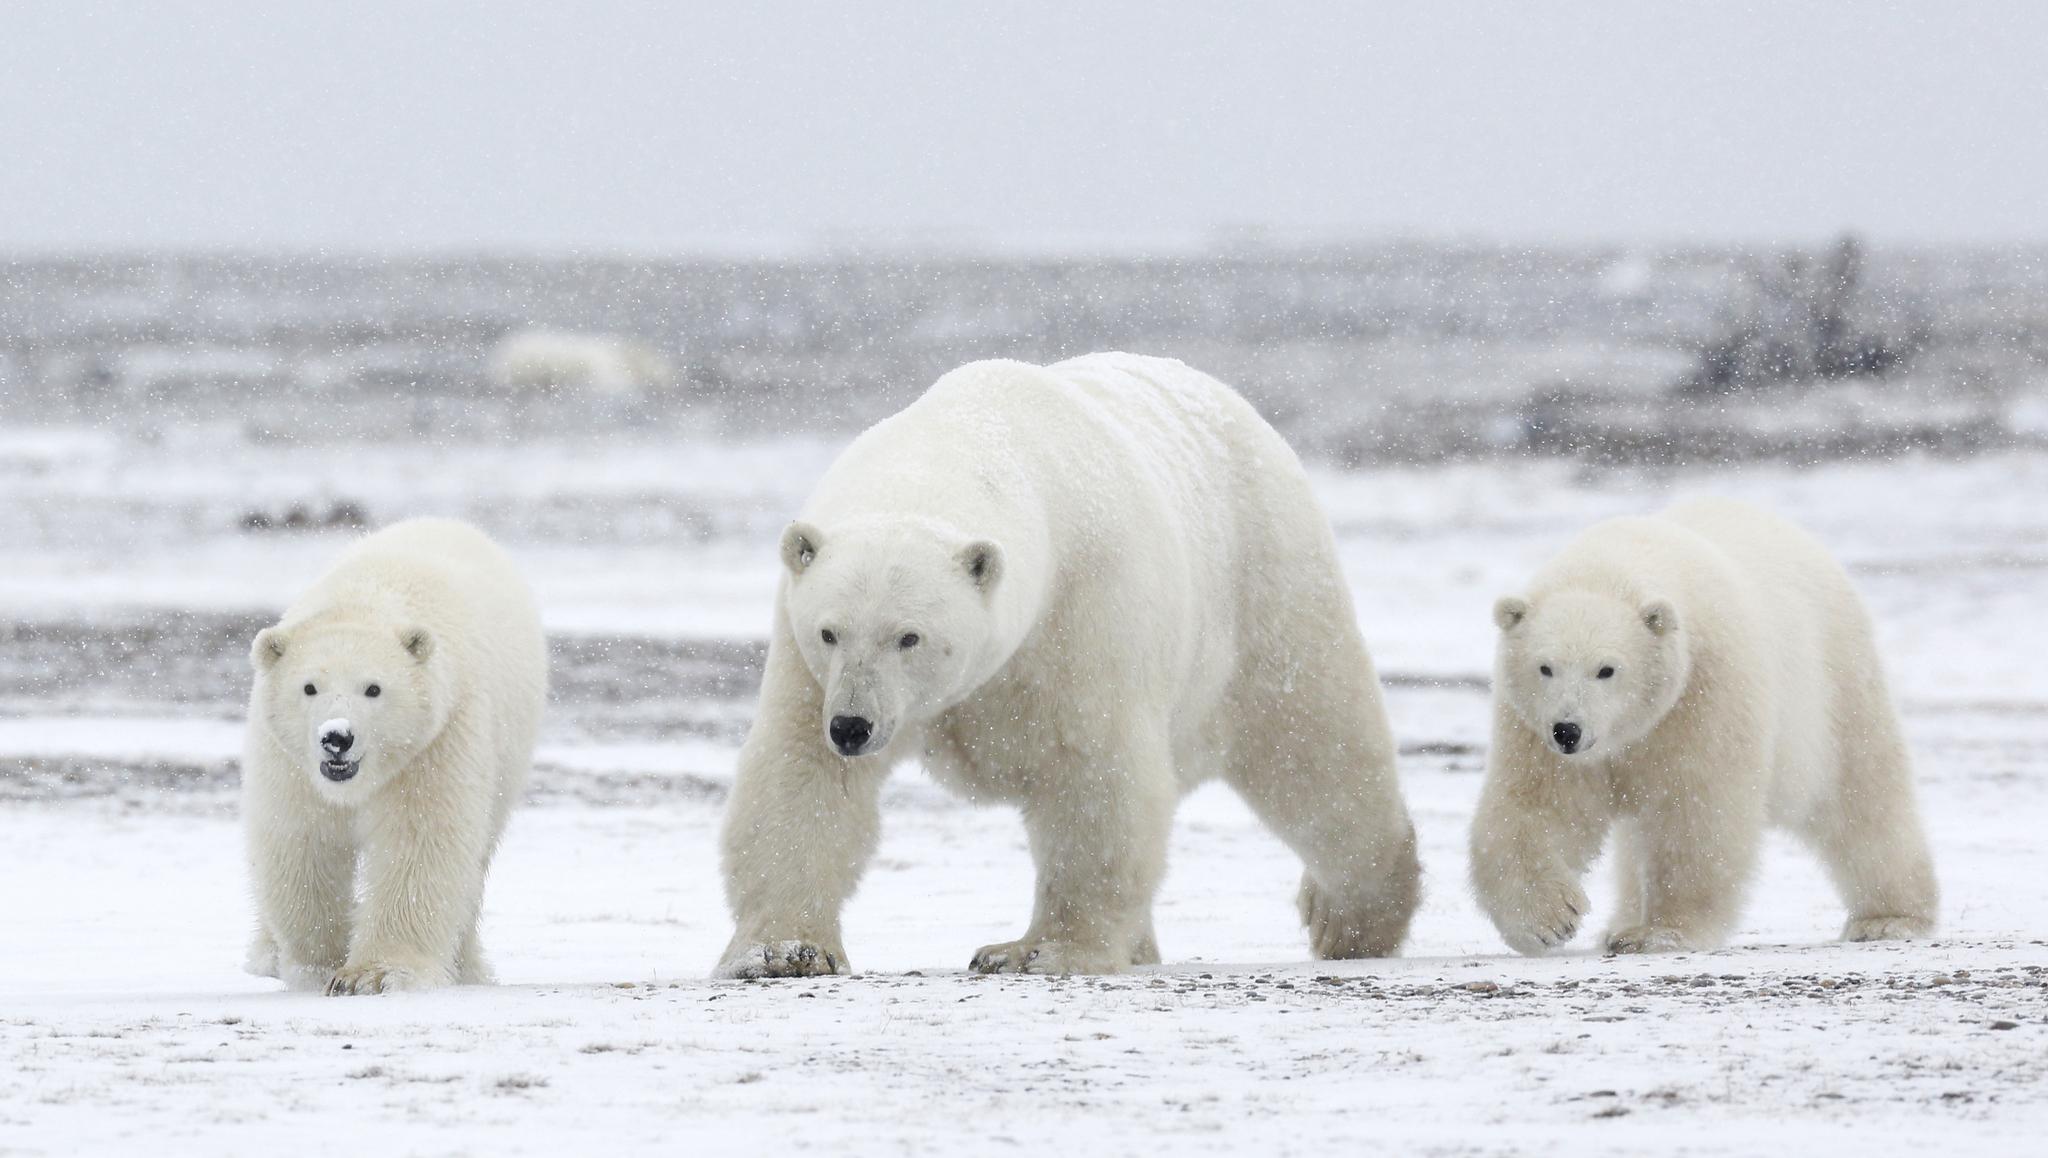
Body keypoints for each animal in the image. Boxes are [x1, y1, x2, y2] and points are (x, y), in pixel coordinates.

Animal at [241, 517, 547, 994]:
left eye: (374, 688)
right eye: (309, 687)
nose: (337, 738)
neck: (366, 600)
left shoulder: (437, 739)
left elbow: (419, 841)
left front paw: (374, 974)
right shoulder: (289, 762)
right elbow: (302, 839)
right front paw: (319, 966)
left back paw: (466, 968)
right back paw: (266, 955)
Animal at [714, 352, 1421, 978]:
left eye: (909, 636)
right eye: (830, 631)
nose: (854, 727)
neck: (967, 441)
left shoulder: (1084, 606)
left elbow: (1094, 771)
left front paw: (1033, 951)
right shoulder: (807, 664)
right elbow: (802, 775)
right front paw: (783, 952)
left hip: (1265, 585)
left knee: (1314, 749)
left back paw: (1350, 919)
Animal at [1469, 497, 1939, 956]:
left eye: (1606, 669)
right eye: (1545, 667)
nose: (1568, 730)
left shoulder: (1704, 693)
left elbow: (1696, 811)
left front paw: (1662, 931)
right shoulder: (1534, 730)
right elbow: (1536, 806)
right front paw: (1548, 920)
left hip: (1833, 685)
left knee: (1861, 796)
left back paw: (1888, 918)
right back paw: (1620, 921)